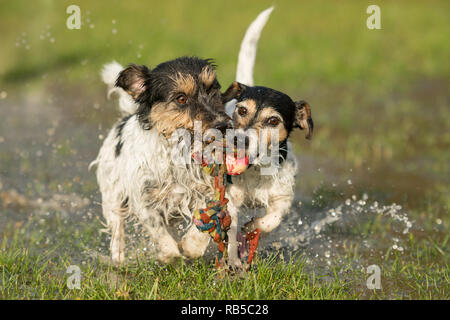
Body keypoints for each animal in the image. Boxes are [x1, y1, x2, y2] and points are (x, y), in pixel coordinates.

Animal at [91, 56, 232, 264]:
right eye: (181, 98)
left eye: (211, 89)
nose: (222, 125)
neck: (179, 150)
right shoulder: (143, 198)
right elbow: (158, 230)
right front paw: (170, 254)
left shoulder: (206, 189)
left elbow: (202, 222)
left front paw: (190, 247)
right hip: (112, 195)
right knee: (117, 226)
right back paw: (118, 257)